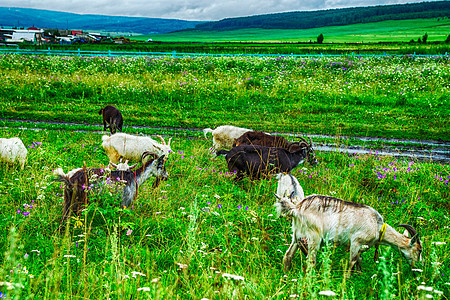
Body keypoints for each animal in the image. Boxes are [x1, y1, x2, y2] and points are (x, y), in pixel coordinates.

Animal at [274, 193, 422, 276]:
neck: (377, 226)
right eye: (419, 250)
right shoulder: (356, 241)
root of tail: (296, 208)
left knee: (288, 255)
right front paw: (349, 278)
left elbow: (359, 260)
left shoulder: (362, 246)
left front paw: (359, 274)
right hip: (313, 236)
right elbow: (352, 261)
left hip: (296, 235)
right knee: (311, 261)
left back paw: (285, 275)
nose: (420, 267)